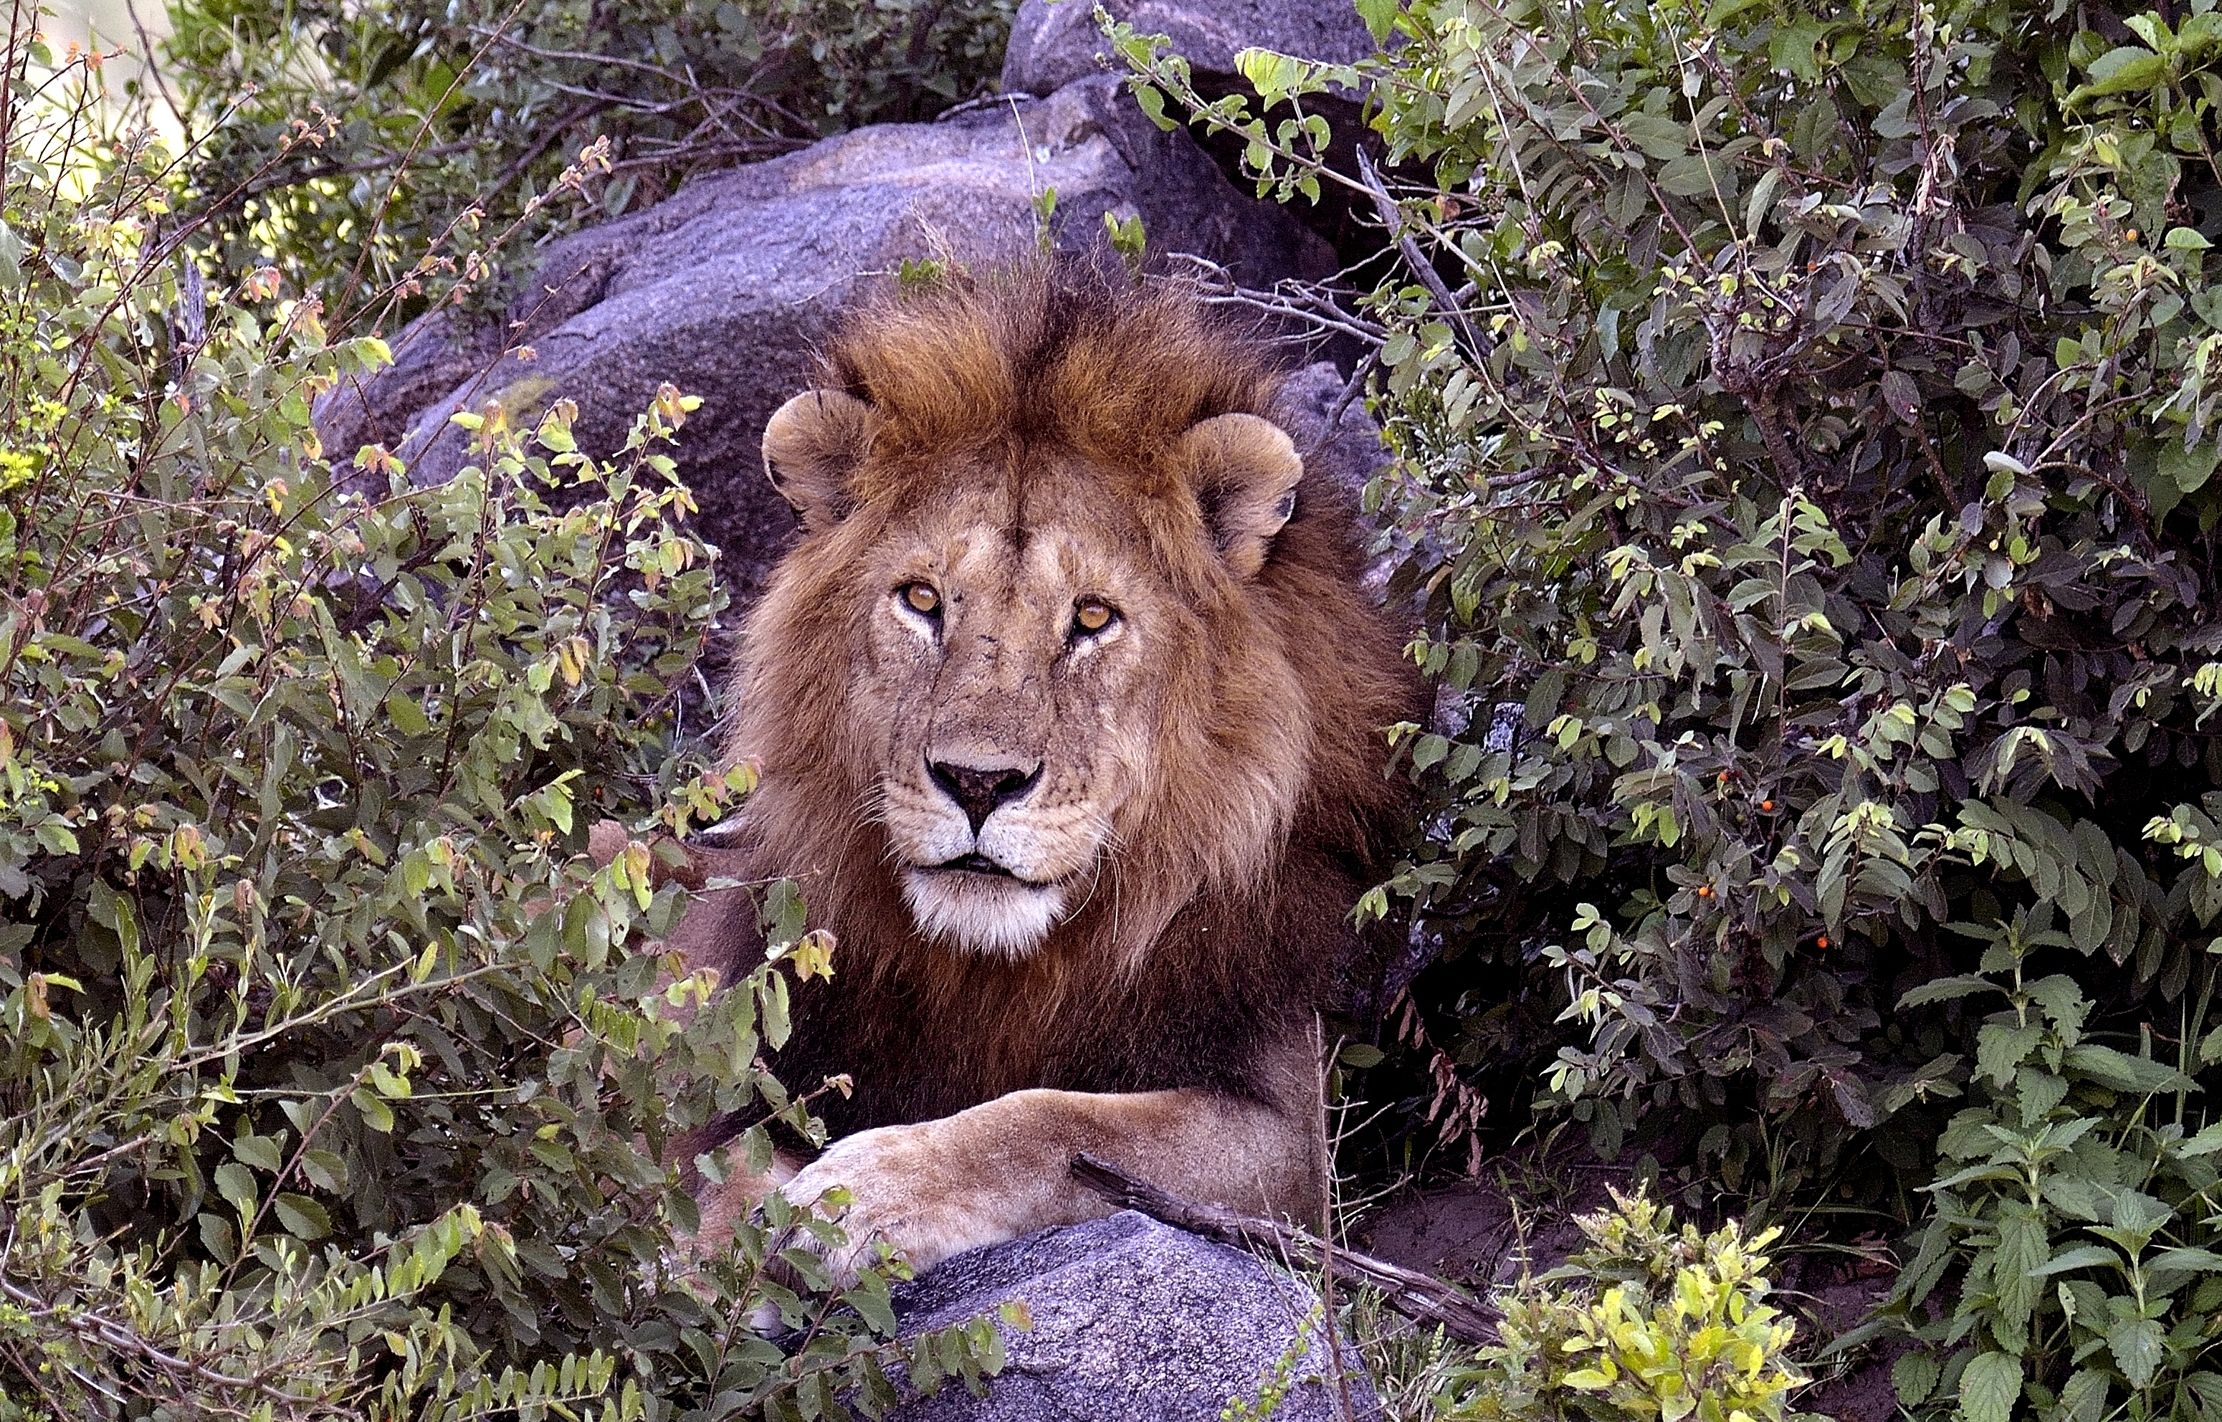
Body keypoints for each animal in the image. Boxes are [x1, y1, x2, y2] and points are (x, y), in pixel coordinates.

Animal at [645, 262, 1413, 1285]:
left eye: (1091, 617)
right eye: (922, 599)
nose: (977, 784)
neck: (1000, 971)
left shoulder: (1287, 1145)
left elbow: (1057, 1123)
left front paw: (857, 1195)